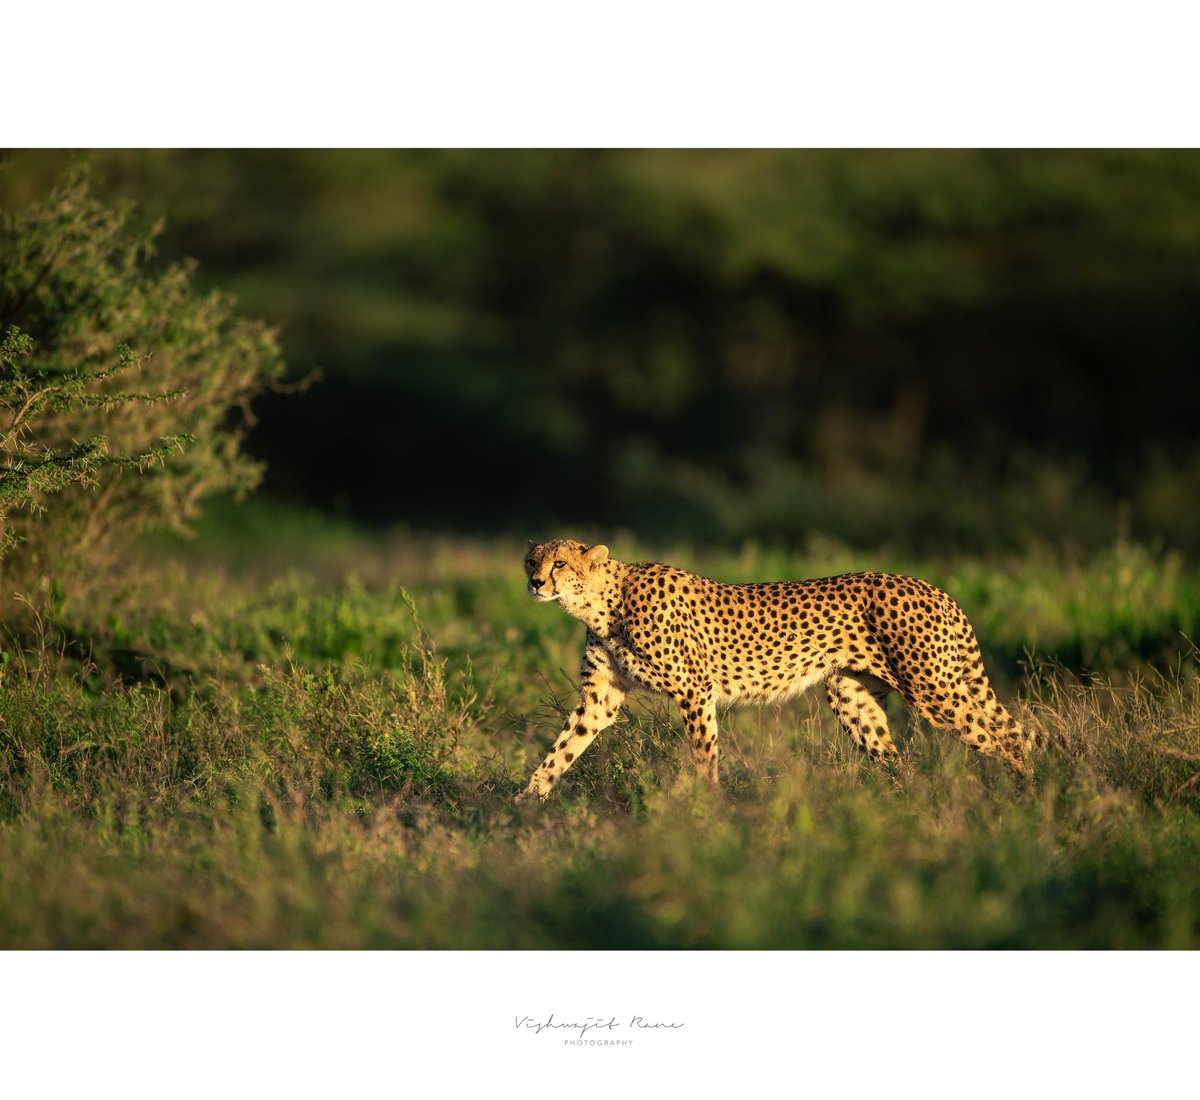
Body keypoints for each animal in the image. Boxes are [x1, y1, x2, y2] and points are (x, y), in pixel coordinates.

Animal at [516, 539, 1033, 801]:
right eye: (531, 559)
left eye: (559, 562)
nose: (535, 582)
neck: (601, 601)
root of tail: (934, 587)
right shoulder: (599, 701)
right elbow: (562, 749)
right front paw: (525, 803)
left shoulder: (695, 690)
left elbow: (704, 755)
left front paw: (709, 811)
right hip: (851, 695)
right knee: (900, 760)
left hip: (932, 690)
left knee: (1009, 737)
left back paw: (1022, 798)